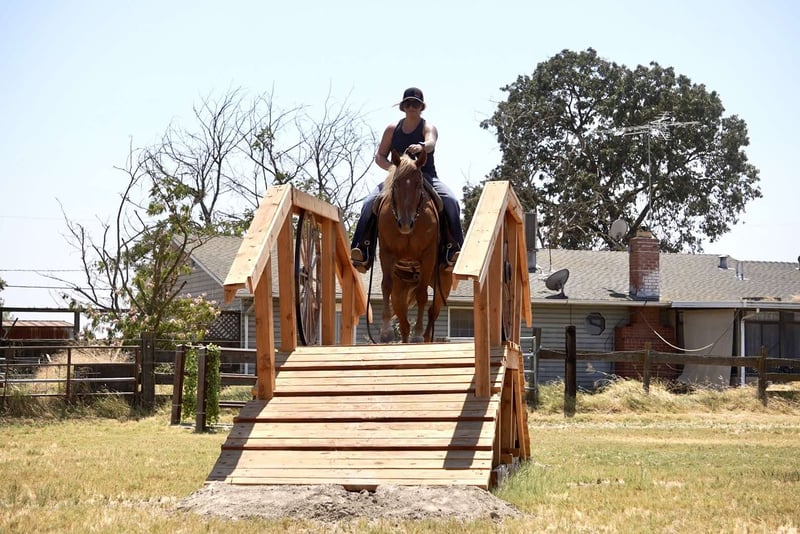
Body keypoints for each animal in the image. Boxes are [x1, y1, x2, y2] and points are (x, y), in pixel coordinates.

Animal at [376, 148, 452, 343]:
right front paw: (385, 331)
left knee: (432, 312)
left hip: (443, 285)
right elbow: (385, 285)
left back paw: (423, 336)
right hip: (400, 291)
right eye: (395, 184)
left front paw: (417, 334)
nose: (405, 223)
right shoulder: (386, 253)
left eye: (418, 185)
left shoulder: (428, 256)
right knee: (403, 323)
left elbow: (422, 294)